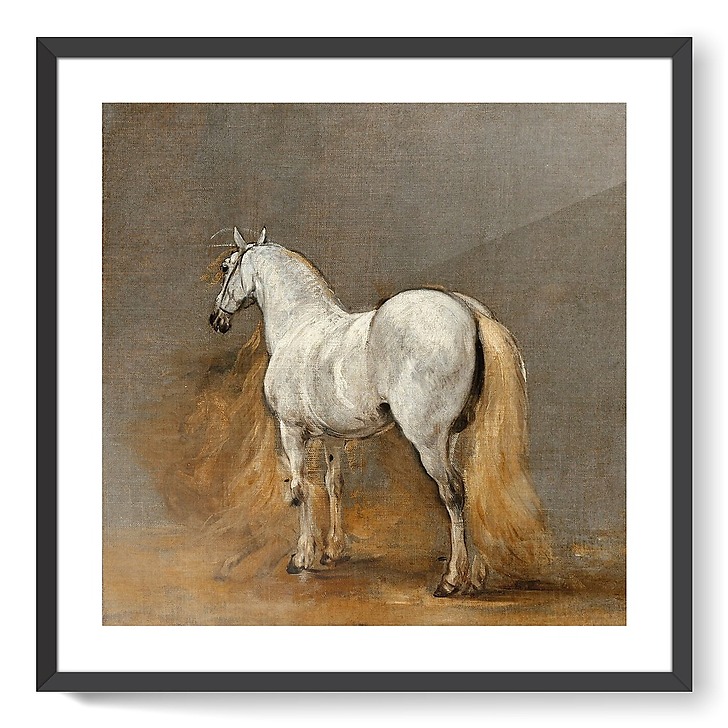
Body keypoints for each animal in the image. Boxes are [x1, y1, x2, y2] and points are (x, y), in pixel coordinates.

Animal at [209, 226, 552, 596]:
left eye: (226, 267)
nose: (216, 319)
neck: (301, 326)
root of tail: (469, 312)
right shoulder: (332, 438)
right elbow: (334, 485)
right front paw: (333, 551)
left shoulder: (292, 430)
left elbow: (301, 490)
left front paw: (302, 557)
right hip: (452, 437)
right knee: (465, 490)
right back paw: (473, 576)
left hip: (428, 441)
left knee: (453, 492)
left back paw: (451, 579)